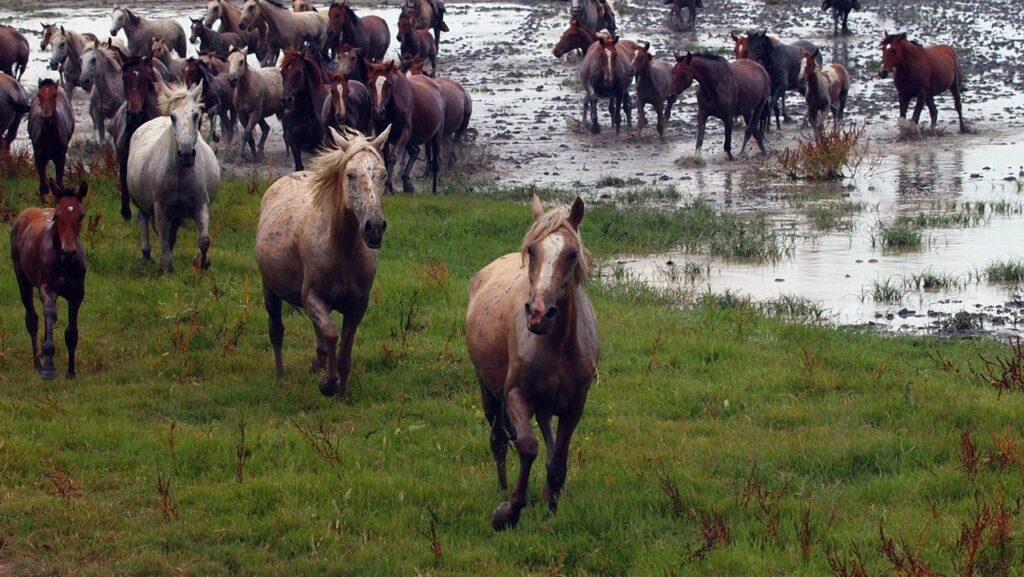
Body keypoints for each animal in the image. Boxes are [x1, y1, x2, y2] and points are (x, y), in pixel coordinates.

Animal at [11, 179, 89, 381]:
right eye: (57, 215)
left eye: (81, 215)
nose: (68, 253)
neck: (64, 264)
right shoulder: (47, 288)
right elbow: (49, 313)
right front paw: (48, 368)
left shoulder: (77, 293)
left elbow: (71, 332)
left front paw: (71, 372)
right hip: (22, 279)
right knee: (33, 319)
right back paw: (38, 363)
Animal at [127, 83, 220, 274]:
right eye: (173, 117)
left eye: (196, 115)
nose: (186, 154)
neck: (180, 174)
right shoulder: (160, 208)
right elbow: (163, 238)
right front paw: (166, 268)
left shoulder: (201, 205)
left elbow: (204, 240)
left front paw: (202, 263)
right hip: (142, 203)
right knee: (144, 220)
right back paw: (146, 254)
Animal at [255, 126, 391, 399]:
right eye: (350, 174)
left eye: (383, 174)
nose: (374, 227)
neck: (342, 251)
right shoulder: (312, 297)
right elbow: (330, 332)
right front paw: (328, 384)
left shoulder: (357, 305)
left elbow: (344, 353)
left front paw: (342, 395)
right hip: (270, 290)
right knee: (276, 331)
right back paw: (281, 376)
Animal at [367, 60, 444, 194]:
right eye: (370, 84)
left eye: (388, 84)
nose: (378, 112)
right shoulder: (382, 133)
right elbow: (385, 158)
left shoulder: (405, 131)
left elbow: (392, 157)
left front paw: (388, 187)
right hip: (411, 140)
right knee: (415, 151)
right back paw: (406, 182)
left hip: (436, 136)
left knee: (435, 163)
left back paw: (434, 191)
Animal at [466, 194, 599, 531]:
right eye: (533, 250)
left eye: (572, 253)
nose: (539, 314)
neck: (558, 344)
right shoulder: (516, 395)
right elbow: (527, 446)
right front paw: (508, 511)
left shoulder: (575, 405)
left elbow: (558, 462)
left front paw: (551, 511)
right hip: (489, 392)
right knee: (499, 440)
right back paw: (502, 487)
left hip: (547, 405)